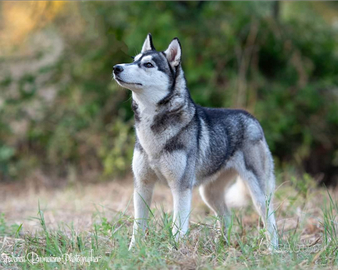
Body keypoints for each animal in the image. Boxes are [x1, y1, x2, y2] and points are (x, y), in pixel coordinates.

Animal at [113, 34, 278, 250]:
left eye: (148, 64)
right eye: (133, 60)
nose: (116, 67)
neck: (153, 129)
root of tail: (252, 118)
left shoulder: (181, 188)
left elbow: (178, 225)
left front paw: (176, 249)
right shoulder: (142, 185)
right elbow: (138, 226)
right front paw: (134, 251)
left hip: (258, 192)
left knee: (270, 219)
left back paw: (273, 249)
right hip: (208, 193)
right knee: (227, 217)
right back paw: (222, 246)